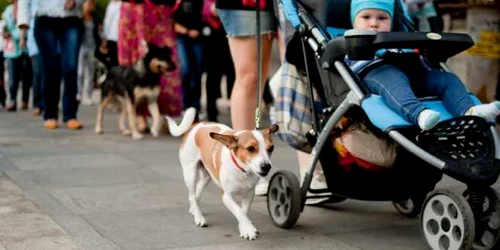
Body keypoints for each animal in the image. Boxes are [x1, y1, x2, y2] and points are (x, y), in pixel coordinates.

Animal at [167, 108, 278, 241]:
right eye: (250, 148)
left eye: (271, 148)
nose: (266, 166)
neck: (242, 170)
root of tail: (196, 125)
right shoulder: (226, 196)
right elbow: (239, 211)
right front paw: (248, 229)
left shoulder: (249, 194)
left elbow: (243, 212)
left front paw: (243, 227)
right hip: (190, 173)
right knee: (192, 195)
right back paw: (199, 217)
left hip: (206, 176)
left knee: (197, 193)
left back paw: (194, 209)